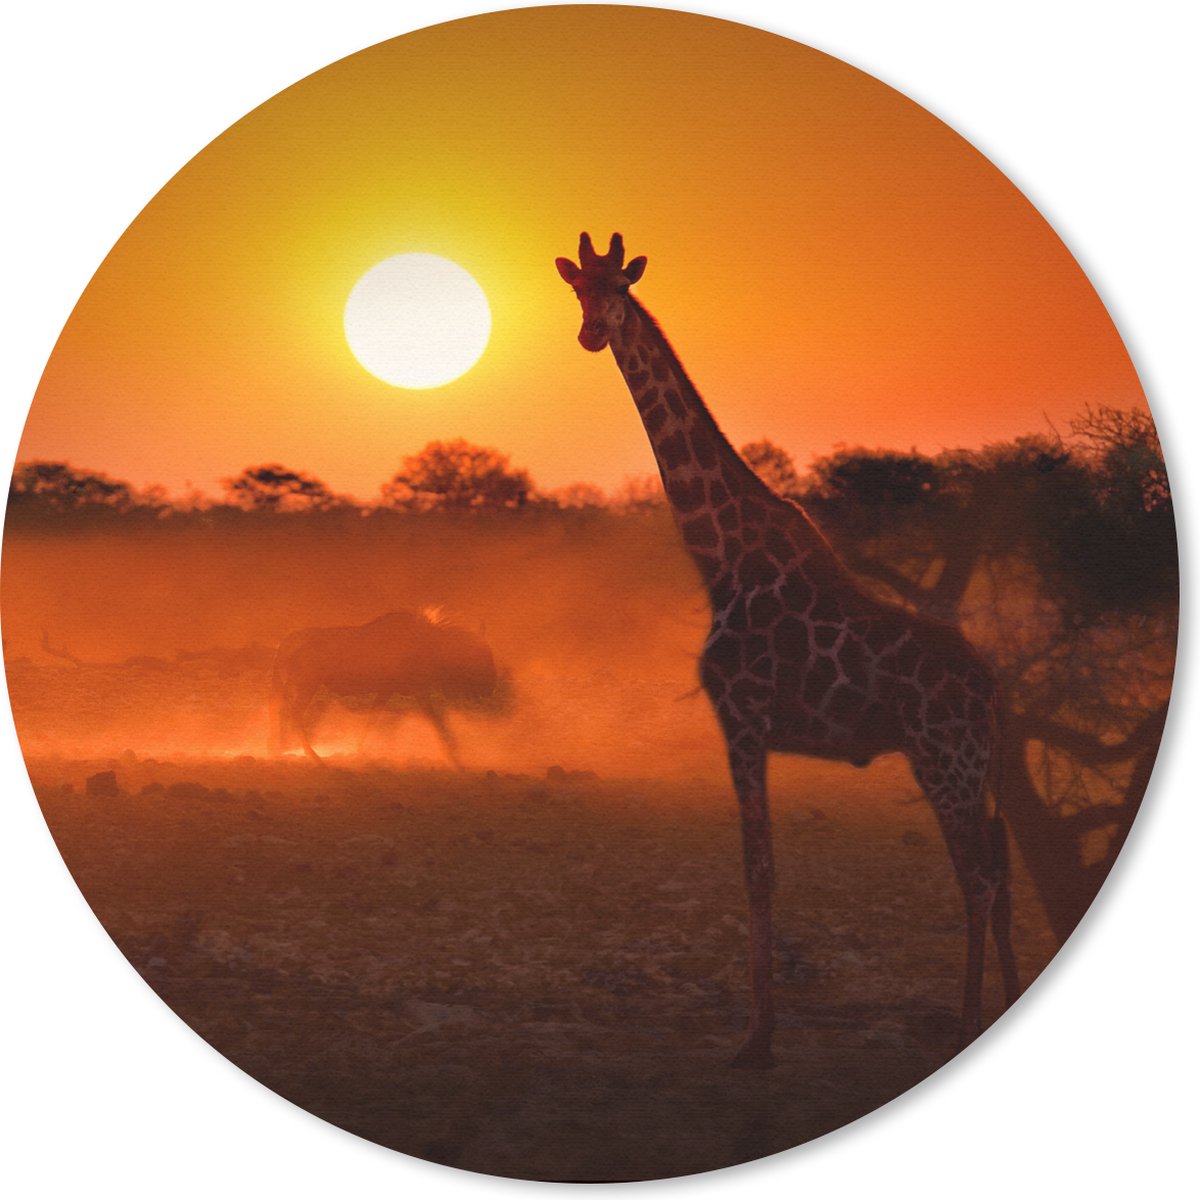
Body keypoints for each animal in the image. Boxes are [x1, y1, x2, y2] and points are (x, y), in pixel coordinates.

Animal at [556, 232, 1020, 1068]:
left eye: (620, 287)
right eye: (579, 290)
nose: (591, 333)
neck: (719, 559)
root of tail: (992, 690)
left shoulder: (741, 717)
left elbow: (759, 870)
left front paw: (757, 1039)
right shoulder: (752, 728)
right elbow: (762, 868)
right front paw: (760, 1031)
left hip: (948, 760)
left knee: (979, 880)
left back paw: (967, 1026)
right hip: (965, 766)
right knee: (997, 873)